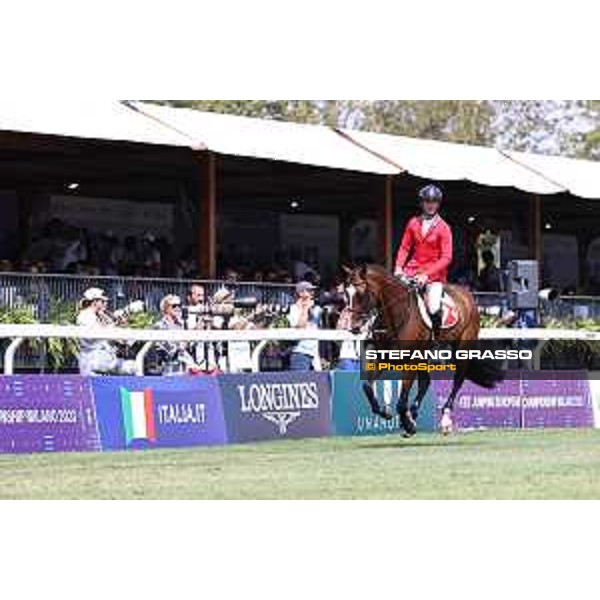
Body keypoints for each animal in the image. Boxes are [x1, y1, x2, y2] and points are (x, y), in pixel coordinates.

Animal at [344, 264, 504, 436]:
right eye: (346, 293)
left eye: (361, 293)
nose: (353, 327)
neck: (398, 314)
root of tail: (467, 295)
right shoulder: (384, 358)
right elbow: (367, 386)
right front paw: (385, 412)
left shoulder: (411, 361)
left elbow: (401, 401)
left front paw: (407, 424)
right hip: (424, 355)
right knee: (425, 382)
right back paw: (413, 414)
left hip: (462, 349)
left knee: (458, 380)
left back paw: (444, 420)